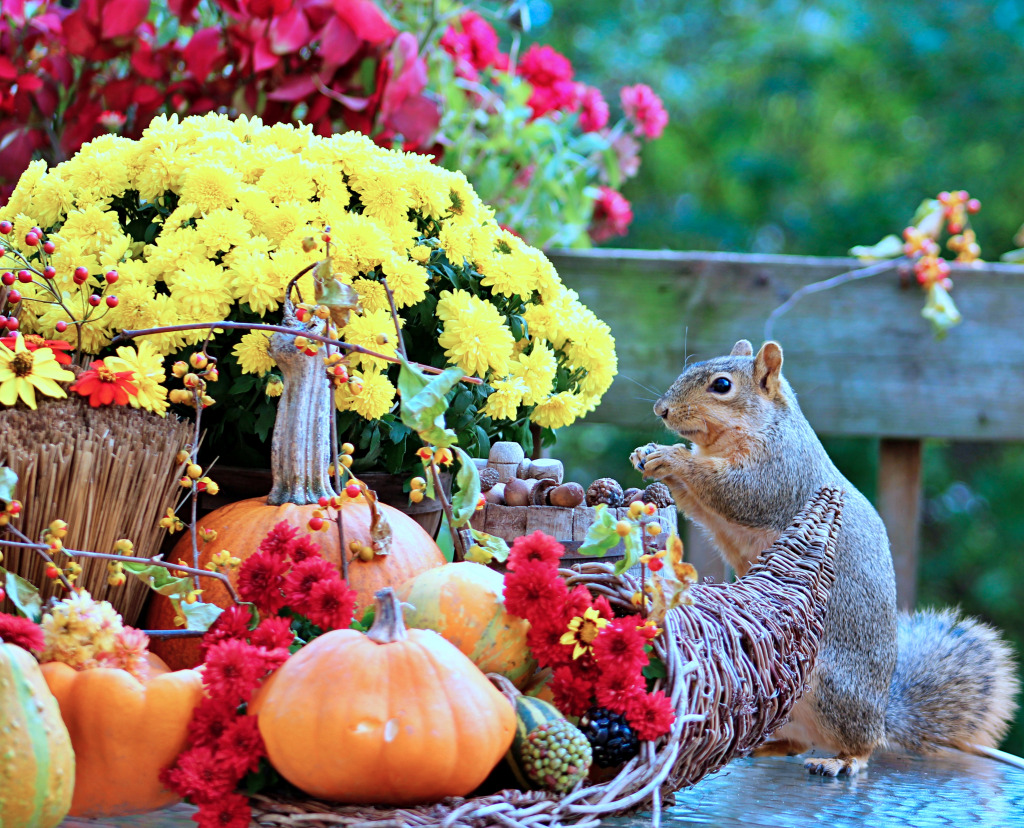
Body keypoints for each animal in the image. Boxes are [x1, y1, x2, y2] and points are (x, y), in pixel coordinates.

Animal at [631, 339, 1019, 777]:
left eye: (722, 385)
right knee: (797, 740)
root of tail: (881, 713)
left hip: (833, 690)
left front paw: (671, 456)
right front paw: (646, 456)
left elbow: (736, 490)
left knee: (862, 745)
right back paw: (768, 746)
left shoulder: (780, 471)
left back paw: (841, 761)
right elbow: (700, 503)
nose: (661, 410)